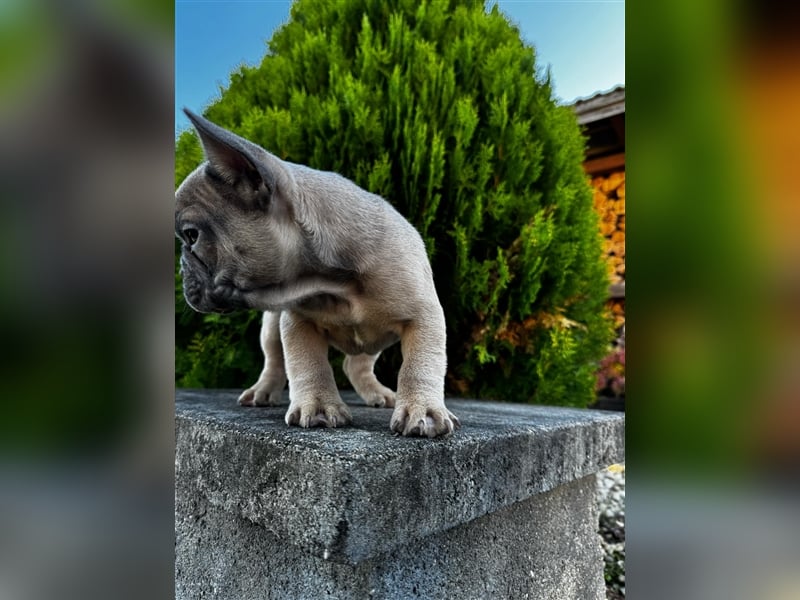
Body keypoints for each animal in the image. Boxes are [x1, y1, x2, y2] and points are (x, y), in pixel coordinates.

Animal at [177, 109, 460, 436]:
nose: (181, 267)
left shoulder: (423, 316)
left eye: (191, 235)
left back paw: (378, 393)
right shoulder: (297, 320)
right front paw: (319, 406)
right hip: (271, 328)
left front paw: (422, 411)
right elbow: (309, 363)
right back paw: (263, 391)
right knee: (275, 359)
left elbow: (420, 364)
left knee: (356, 364)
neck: (333, 282)